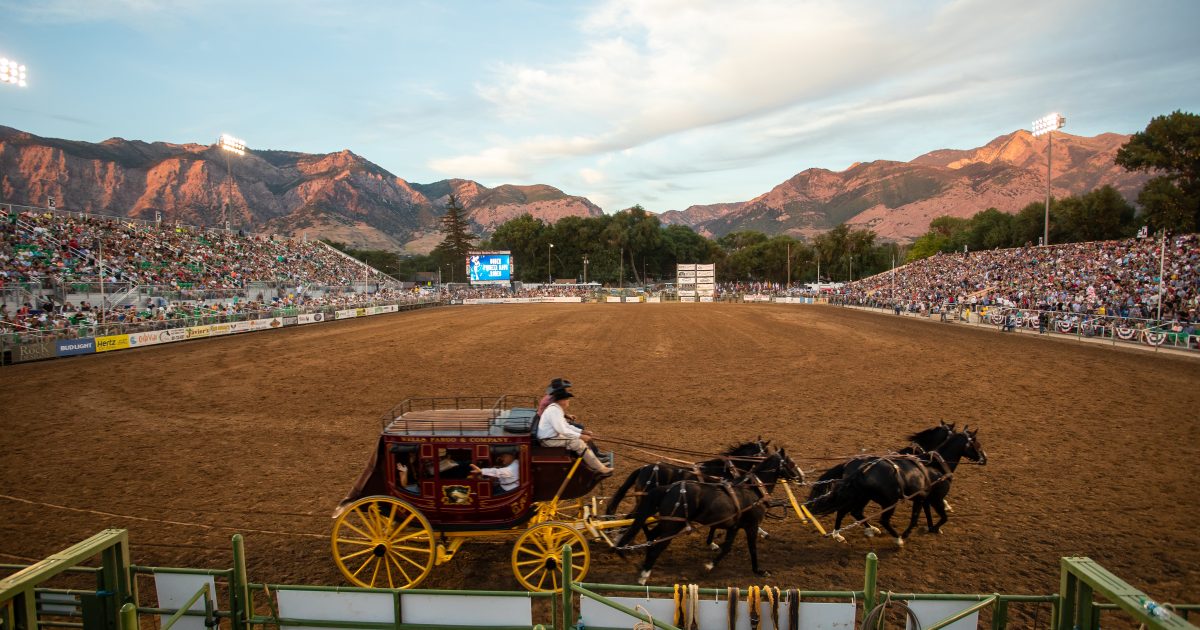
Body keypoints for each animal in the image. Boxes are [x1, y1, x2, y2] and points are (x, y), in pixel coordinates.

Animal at [614, 446, 801, 585]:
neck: (753, 489)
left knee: (649, 532)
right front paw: (759, 571)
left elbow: (727, 547)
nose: (802, 476)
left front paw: (710, 563)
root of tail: (668, 488)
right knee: (654, 543)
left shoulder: (733, 526)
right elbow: (752, 548)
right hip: (672, 524)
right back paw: (643, 574)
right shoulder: (751, 525)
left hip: (667, 520)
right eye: (791, 463)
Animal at [806, 427, 984, 544]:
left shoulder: (923, 499)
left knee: (851, 511)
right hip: (887, 501)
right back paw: (894, 538)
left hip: (861, 497)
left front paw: (931, 528)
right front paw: (910, 533)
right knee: (875, 518)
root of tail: (855, 467)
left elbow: (926, 515)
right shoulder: (935, 499)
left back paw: (860, 531)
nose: (985, 459)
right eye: (977, 444)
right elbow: (933, 517)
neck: (935, 464)